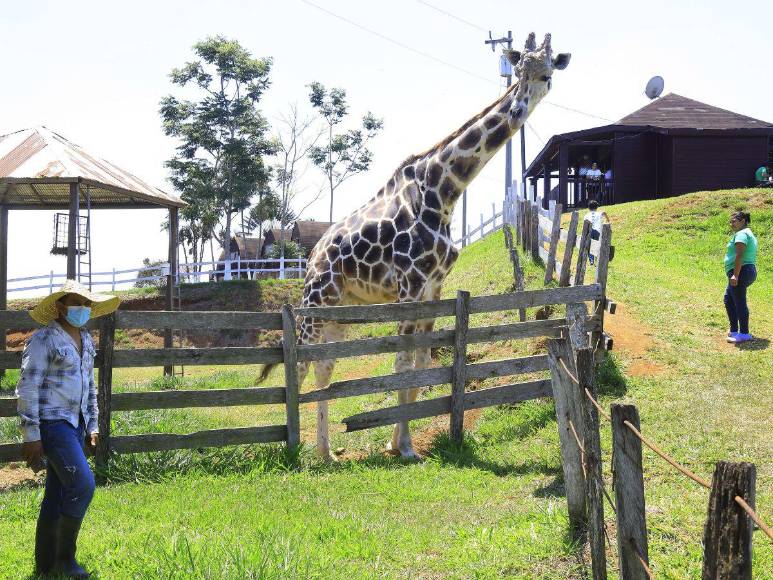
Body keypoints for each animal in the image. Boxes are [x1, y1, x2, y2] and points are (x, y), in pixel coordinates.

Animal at [260, 33, 570, 459]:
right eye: (518, 69)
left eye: (546, 74)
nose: (519, 106)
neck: (445, 192)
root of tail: (312, 257)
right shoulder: (409, 283)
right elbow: (403, 363)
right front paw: (403, 446)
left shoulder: (434, 284)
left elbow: (422, 361)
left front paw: (399, 442)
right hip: (316, 301)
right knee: (303, 364)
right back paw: (298, 451)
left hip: (341, 307)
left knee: (324, 366)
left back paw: (326, 452)